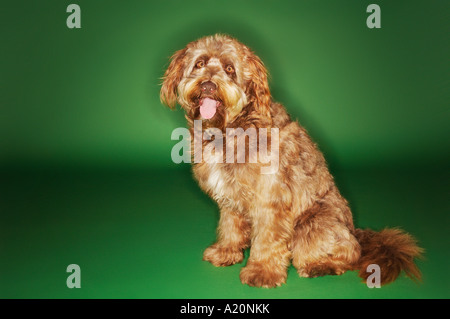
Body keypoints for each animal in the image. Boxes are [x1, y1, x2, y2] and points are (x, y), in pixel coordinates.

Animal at [160, 33, 424, 288]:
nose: (208, 85)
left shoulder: (271, 197)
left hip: (312, 226)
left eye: (229, 69)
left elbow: (267, 238)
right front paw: (226, 252)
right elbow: (230, 225)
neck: (230, 130)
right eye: (199, 63)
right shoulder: (229, 196)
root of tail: (355, 231)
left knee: (349, 253)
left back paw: (321, 266)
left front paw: (262, 271)